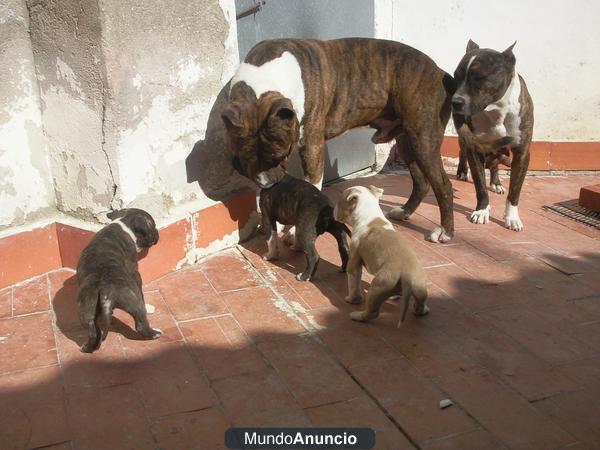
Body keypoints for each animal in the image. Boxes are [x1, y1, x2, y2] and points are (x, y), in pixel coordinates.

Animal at [223, 37, 458, 243]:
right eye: (244, 161)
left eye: (280, 156)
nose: (270, 183)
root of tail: (441, 72)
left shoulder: (312, 146)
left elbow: (311, 187)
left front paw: (293, 231)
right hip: (406, 141)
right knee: (421, 182)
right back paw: (405, 211)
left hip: (423, 139)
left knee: (443, 185)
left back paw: (445, 231)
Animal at [336, 186, 428, 326]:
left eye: (340, 202)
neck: (369, 215)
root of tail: (406, 276)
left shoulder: (353, 262)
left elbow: (353, 283)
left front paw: (352, 299)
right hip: (419, 286)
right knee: (420, 302)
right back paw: (422, 310)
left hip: (377, 288)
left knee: (372, 312)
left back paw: (357, 316)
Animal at [450, 40, 536, 230]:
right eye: (455, 76)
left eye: (479, 77)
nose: (455, 101)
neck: (496, 110)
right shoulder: (474, 147)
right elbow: (480, 185)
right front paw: (482, 211)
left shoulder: (522, 153)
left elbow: (515, 190)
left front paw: (512, 217)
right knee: (462, 150)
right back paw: (462, 172)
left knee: (495, 165)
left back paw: (496, 183)